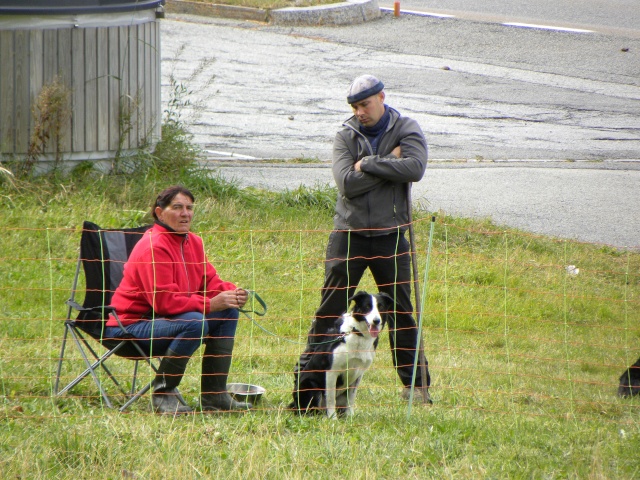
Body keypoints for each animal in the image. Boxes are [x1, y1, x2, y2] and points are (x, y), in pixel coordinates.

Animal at [292, 290, 392, 418]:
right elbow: (330, 399)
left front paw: (350, 417)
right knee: (310, 410)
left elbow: (351, 398)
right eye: (367, 307)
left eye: (381, 307)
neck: (357, 333)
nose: (376, 321)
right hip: (311, 386)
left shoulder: (358, 373)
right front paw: (332, 418)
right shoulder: (332, 371)